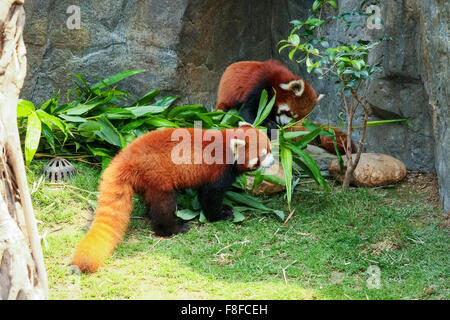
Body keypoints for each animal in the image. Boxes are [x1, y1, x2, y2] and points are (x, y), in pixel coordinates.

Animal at [72, 122, 272, 272]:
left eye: (270, 148)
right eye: (263, 155)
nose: (273, 160)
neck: (226, 147)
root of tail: (125, 156)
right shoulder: (216, 172)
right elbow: (210, 198)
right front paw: (220, 215)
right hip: (159, 178)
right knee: (163, 207)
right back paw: (173, 228)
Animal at [214, 60, 356, 155]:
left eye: (299, 119)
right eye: (290, 114)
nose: (285, 126)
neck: (275, 79)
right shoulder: (258, 87)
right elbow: (248, 114)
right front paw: (268, 126)